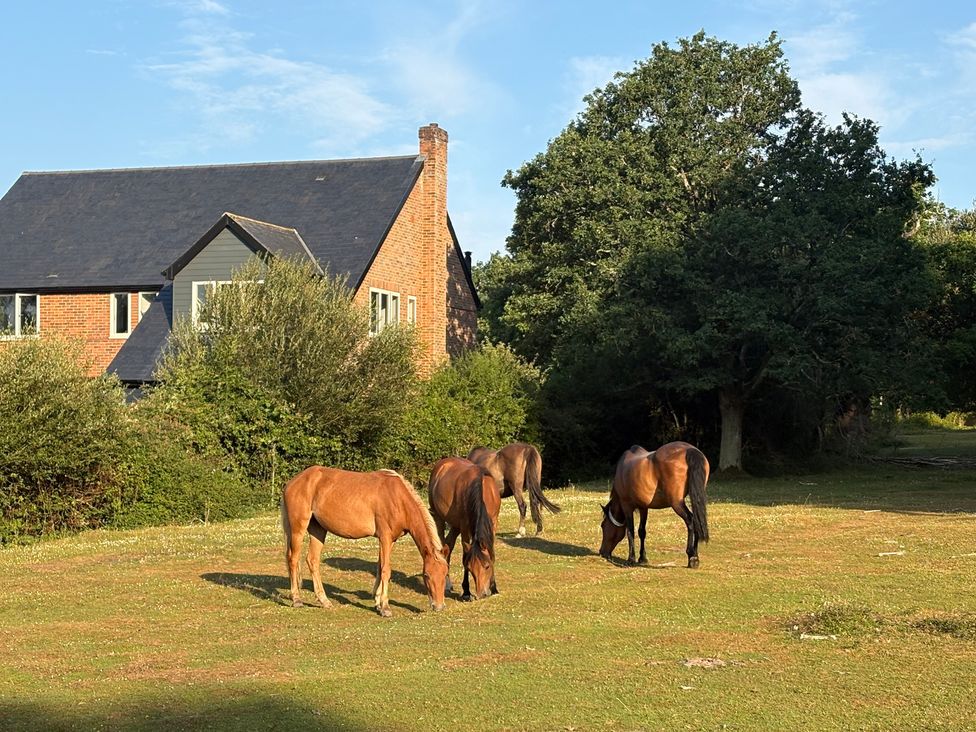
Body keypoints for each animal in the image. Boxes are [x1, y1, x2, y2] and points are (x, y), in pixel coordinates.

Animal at [280, 466, 448, 617]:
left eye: (445, 574)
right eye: (426, 575)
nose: (438, 606)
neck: (398, 499)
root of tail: (292, 482)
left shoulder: (390, 540)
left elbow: (380, 568)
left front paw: (378, 603)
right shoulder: (385, 538)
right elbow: (386, 570)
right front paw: (385, 607)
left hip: (318, 530)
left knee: (312, 560)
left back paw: (324, 601)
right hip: (298, 528)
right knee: (293, 559)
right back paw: (297, 600)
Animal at [427, 457, 501, 601]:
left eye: (487, 566)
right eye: (471, 569)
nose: (481, 594)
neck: (482, 490)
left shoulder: (493, 523)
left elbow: (491, 553)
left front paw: (494, 587)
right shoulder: (465, 527)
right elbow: (465, 556)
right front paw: (466, 591)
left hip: (455, 525)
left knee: (448, 545)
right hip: (439, 517)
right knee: (443, 546)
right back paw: (446, 583)